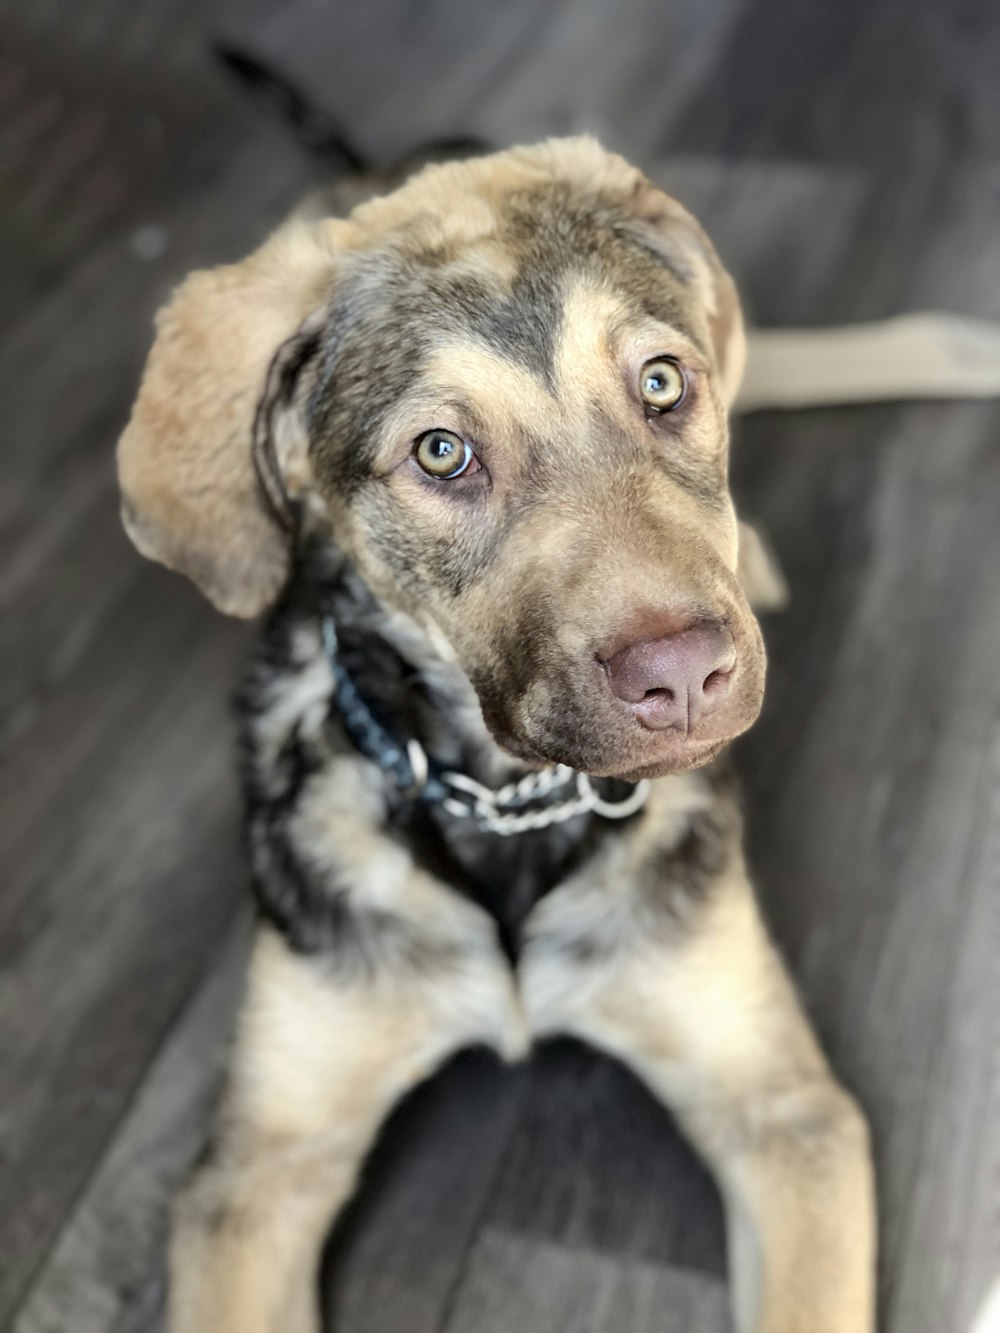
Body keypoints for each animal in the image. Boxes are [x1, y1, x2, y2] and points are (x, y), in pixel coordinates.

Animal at [117, 135, 880, 1333]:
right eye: (441, 452)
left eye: (662, 383)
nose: (686, 678)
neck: (506, 805)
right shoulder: (257, 1176)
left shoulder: (787, 1113)